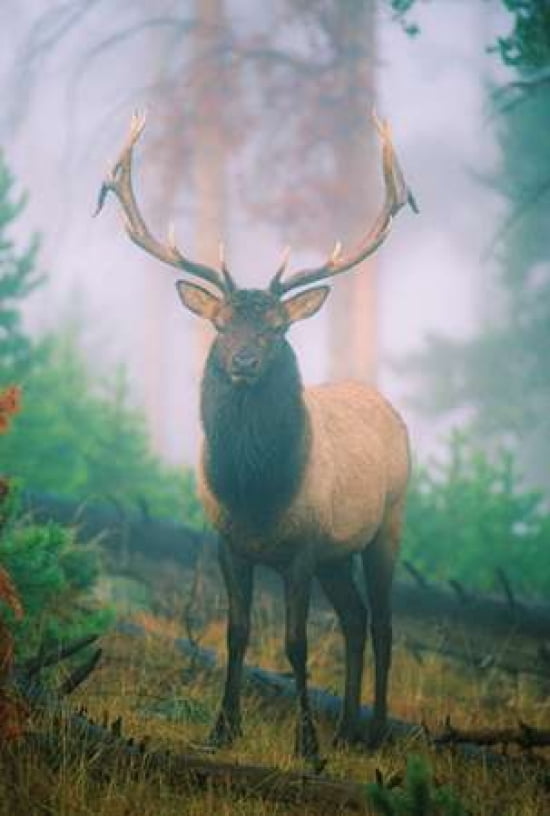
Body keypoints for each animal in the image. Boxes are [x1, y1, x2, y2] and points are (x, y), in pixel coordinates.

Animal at [96, 111, 417, 764]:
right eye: (220, 325)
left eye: (276, 329)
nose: (243, 361)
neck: (257, 494)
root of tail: (387, 407)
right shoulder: (229, 542)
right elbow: (237, 633)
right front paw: (223, 729)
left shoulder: (302, 547)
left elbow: (295, 644)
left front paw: (306, 746)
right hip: (338, 554)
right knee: (353, 618)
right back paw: (347, 726)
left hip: (387, 523)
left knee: (382, 622)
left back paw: (371, 732)